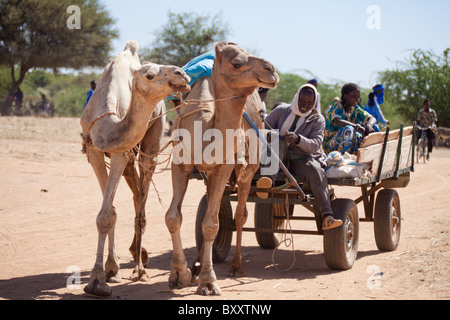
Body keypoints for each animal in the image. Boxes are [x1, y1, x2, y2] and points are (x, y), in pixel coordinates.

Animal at [80, 40, 191, 298]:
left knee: (141, 200)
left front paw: (97, 280)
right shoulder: (94, 151)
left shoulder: (121, 153)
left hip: (152, 142)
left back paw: (140, 268)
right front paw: (109, 271)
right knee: (136, 194)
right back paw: (134, 255)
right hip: (131, 159)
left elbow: (107, 214)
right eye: (149, 75)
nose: (181, 74)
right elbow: (108, 212)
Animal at [165, 41, 278, 296]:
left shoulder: (224, 166)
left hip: (249, 169)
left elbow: (211, 224)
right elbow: (174, 217)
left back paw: (236, 267)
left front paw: (208, 282)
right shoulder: (180, 164)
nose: (270, 69)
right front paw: (179, 274)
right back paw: (196, 267)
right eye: (236, 63)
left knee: (240, 215)